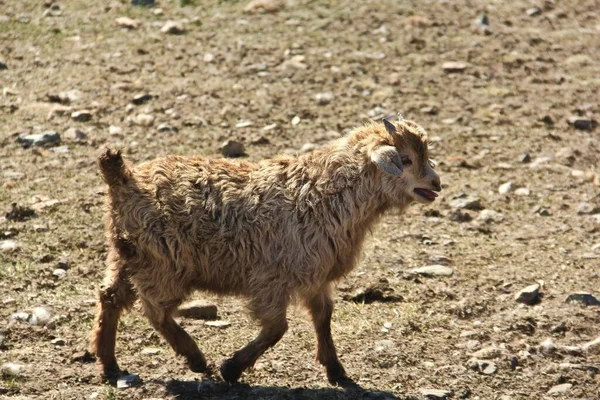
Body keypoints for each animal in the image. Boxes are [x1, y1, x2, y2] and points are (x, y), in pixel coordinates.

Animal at [91, 118, 442, 384]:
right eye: (405, 159)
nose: (436, 184)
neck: (324, 194)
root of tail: (123, 178)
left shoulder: (315, 277)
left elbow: (323, 318)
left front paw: (336, 370)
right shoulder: (271, 279)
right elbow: (277, 328)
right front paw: (231, 368)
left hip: (127, 255)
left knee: (110, 298)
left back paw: (110, 365)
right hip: (163, 264)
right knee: (155, 311)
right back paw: (195, 358)